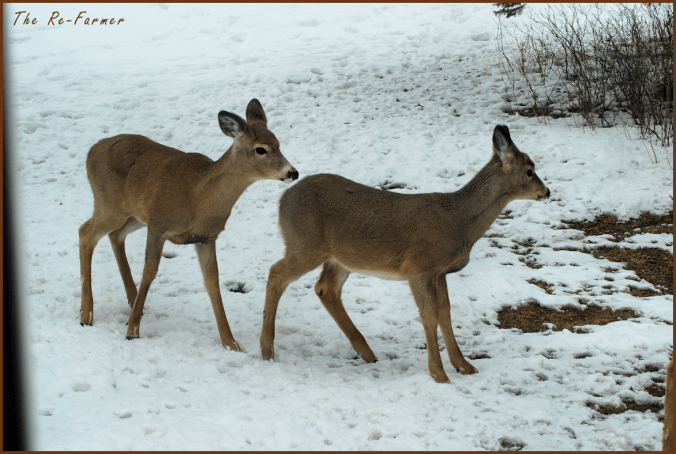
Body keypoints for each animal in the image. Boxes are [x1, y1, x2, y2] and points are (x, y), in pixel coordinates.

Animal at [79, 99, 297, 352]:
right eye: (261, 149)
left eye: (278, 143)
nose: (292, 172)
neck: (198, 197)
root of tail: (91, 150)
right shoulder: (159, 224)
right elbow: (150, 272)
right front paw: (132, 331)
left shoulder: (206, 237)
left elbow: (212, 282)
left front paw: (231, 343)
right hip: (109, 204)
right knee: (85, 232)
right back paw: (87, 314)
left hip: (133, 215)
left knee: (115, 235)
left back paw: (133, 303)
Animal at [259, 125, 550, 383]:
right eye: (530, 171)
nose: (546, 192)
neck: (458, 221)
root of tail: (282, 201)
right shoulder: (419, 267)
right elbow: (429, 315)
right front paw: (439, 373)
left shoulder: (439, 272)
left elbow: (445, 312)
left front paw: (464, 365)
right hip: (304, 244)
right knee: (276, 273)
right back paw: (267, 349)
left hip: (339, 257)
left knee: (325, 289)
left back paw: (367, 352)